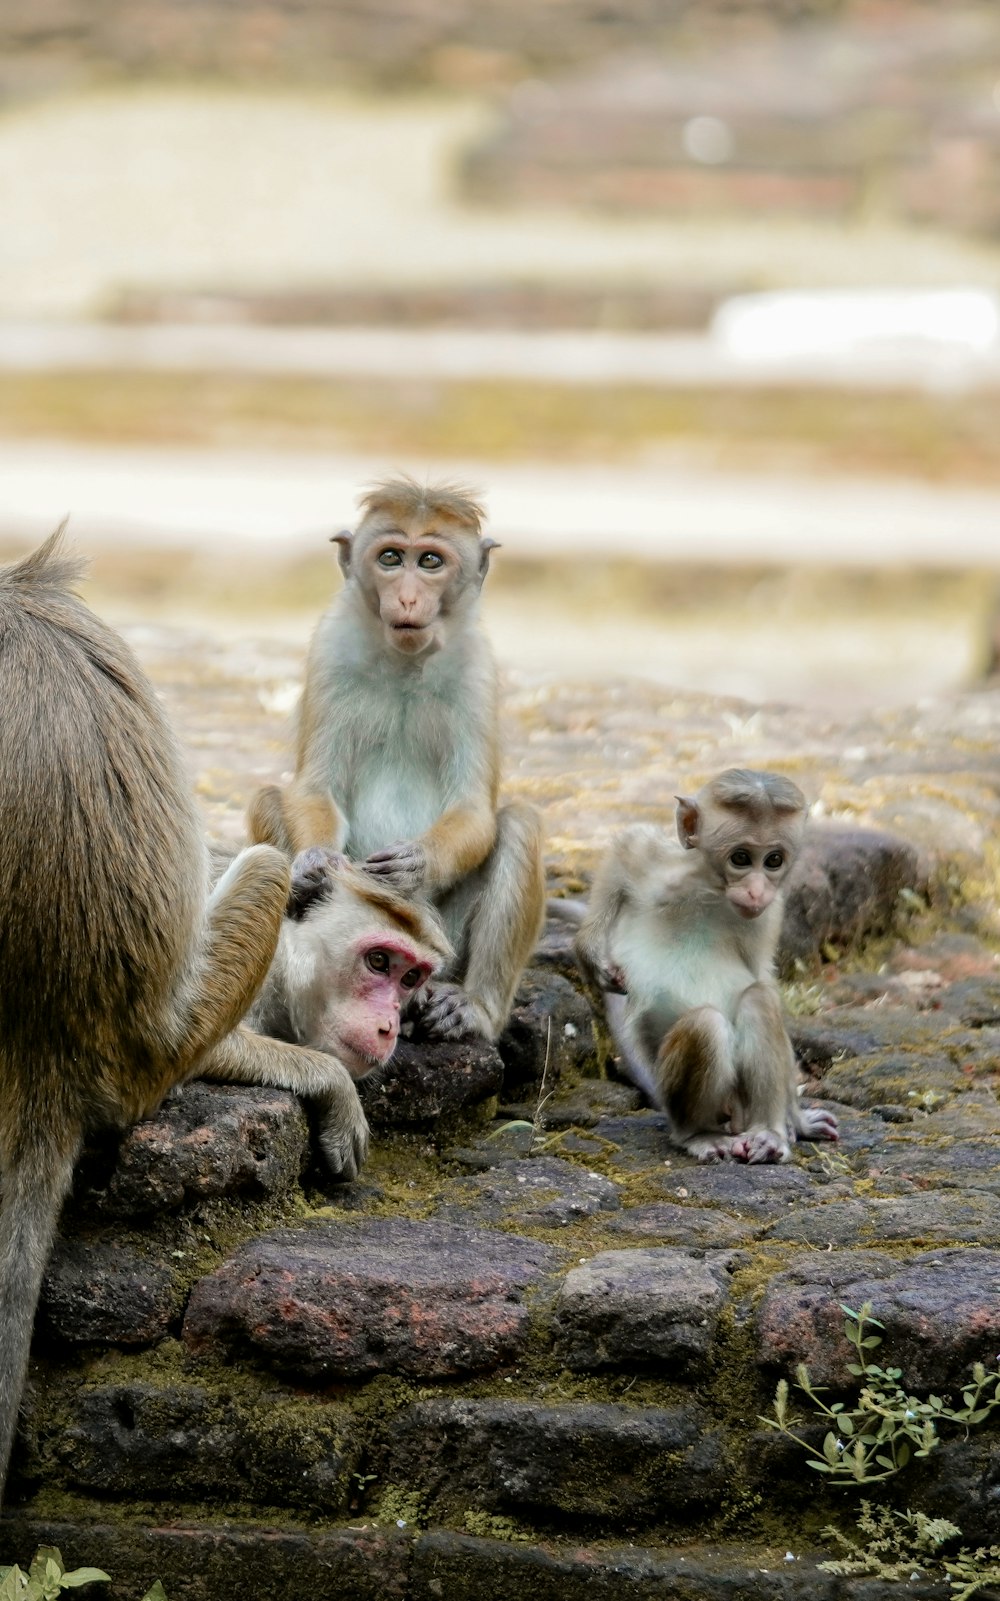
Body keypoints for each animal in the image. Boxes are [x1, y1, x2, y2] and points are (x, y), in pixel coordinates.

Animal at [249, 470, 547, 1050]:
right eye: (390, 557)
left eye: (429, 561)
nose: (407, 598)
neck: (406, 661)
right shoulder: (330, 649)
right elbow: (313, 787)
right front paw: (314, 864)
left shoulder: (477, 669)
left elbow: (474, 809)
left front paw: (415, 863)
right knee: (269, 797)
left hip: (442, 947)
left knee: (518, 824)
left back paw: (469, 1008)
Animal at [572, 768, 838, 1171]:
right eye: (741, 858)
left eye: (773, 860)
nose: (756, 890)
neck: (710, 888)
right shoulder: (657, 862)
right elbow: (624, 848)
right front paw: (590, 953)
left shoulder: (769, 913)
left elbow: (762, 978)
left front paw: (798, 1119)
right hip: (672, 1092)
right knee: (705, 1025)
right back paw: (700, 1135)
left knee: (757, 999)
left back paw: (769, 1135)